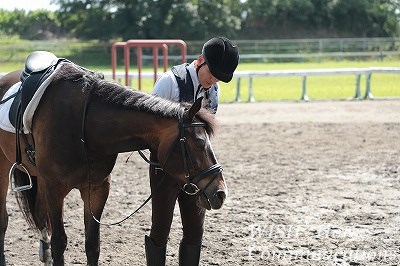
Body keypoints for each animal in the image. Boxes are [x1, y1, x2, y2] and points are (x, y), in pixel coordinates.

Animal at [0, 61, 227, 264]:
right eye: (199, 143)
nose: (220, 193)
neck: (83, 125)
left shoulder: (97, 188)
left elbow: (92, 245)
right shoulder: (54, 189)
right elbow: (59, 242)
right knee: (5, 220)